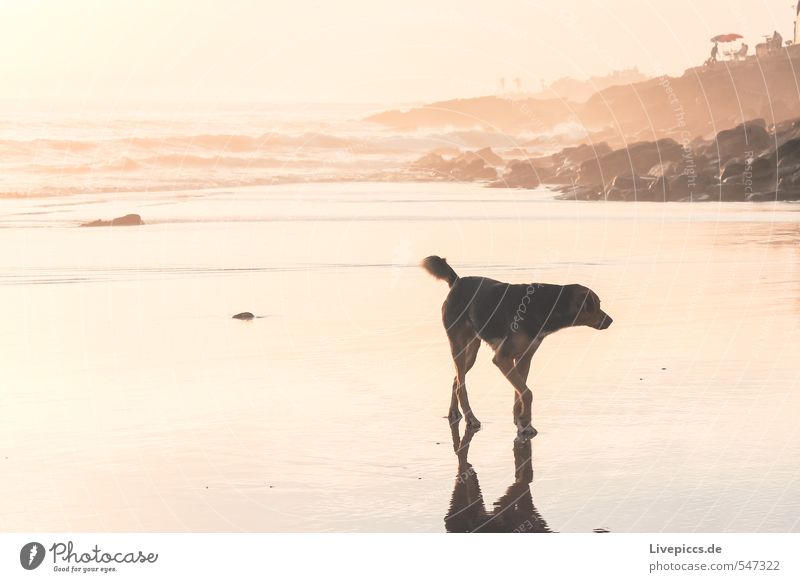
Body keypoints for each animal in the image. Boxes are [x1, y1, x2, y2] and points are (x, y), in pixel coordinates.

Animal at [418, 256, 612, 438]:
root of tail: (457, 282)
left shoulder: (524, 358)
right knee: (461, 385)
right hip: (457, 344)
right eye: (596, 306)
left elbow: (519, 393)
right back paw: (471, 419)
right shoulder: (502, 358)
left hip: (471, 350)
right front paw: (525, 423)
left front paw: (521, 422)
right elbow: (527, 393)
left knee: (457, 379)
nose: (610, 321)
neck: (547, 305)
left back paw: (453, 413)